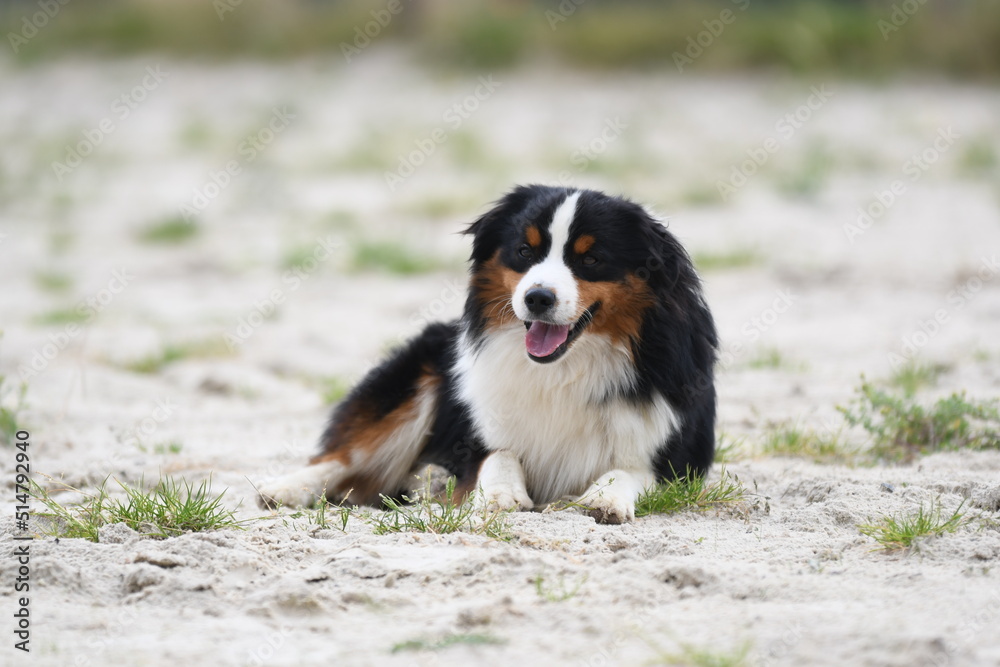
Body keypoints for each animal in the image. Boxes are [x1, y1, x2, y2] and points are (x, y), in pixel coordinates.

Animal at [254, 185, 716, 524]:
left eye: (591, 259)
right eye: (525, 252)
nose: (537, 298)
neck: (563, 369)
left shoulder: (674, 457)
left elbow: (629, 471)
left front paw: (606, 499)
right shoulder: (478, 425)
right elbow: (497, 451)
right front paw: (500, 493)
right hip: (413, 381)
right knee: (342, 456)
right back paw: (283, 489)